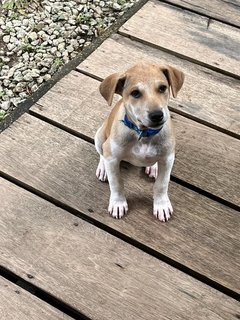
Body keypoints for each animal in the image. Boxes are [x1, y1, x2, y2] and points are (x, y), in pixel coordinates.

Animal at [94, 62, 184, 222]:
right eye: (135, 93)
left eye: (162, 88)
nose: (157, 115)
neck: (143, 134)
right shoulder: (112, 158)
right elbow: (116, 183)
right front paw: (118, 203)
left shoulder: (168, 158)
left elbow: (162, 184)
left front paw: (161, 205)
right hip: (100, 137)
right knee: (101, 153)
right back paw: (103, 168)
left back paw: (153, 166)